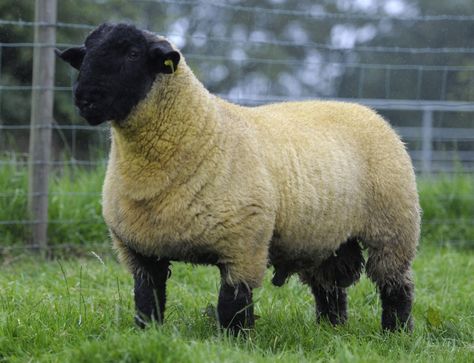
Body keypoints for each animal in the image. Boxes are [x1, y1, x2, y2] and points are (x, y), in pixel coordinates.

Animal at [57, 22, 420, 336]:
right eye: (86, 54)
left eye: (133, 54)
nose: (84, 98)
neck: (201, 129)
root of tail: (367, 111)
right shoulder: (139, 251)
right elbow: (148, 301)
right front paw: (148, 335)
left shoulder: (243, 245)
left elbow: (232, 305)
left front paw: (235, 341)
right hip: (324, 237)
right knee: (328, 287)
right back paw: (330, 329)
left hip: (393, 229)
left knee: (395, 285)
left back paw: (395, 333)